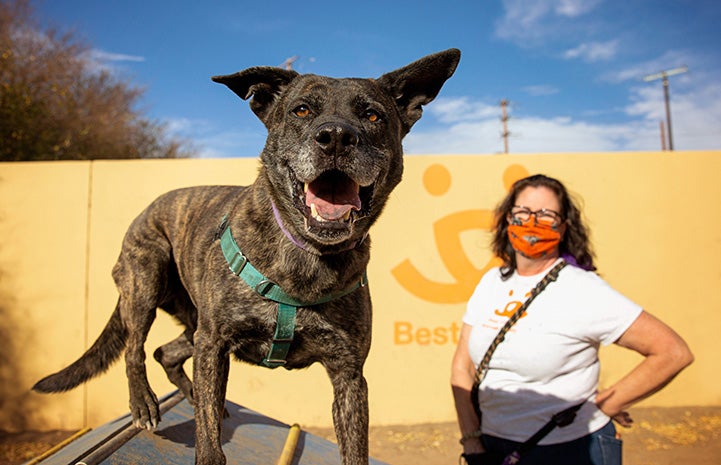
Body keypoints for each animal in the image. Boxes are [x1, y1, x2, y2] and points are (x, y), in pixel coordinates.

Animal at [33, 48, 458, 464]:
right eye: (301, 110)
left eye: (372, 115)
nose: (336, 137)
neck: (306, 254)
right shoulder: (214, 343)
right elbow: (207, 444)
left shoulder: (348, 373)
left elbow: (355, 449)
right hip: (147, 281)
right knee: (135, 347)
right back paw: (144, 403)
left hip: (193, 322)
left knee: (165, 352)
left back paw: (193, 396)